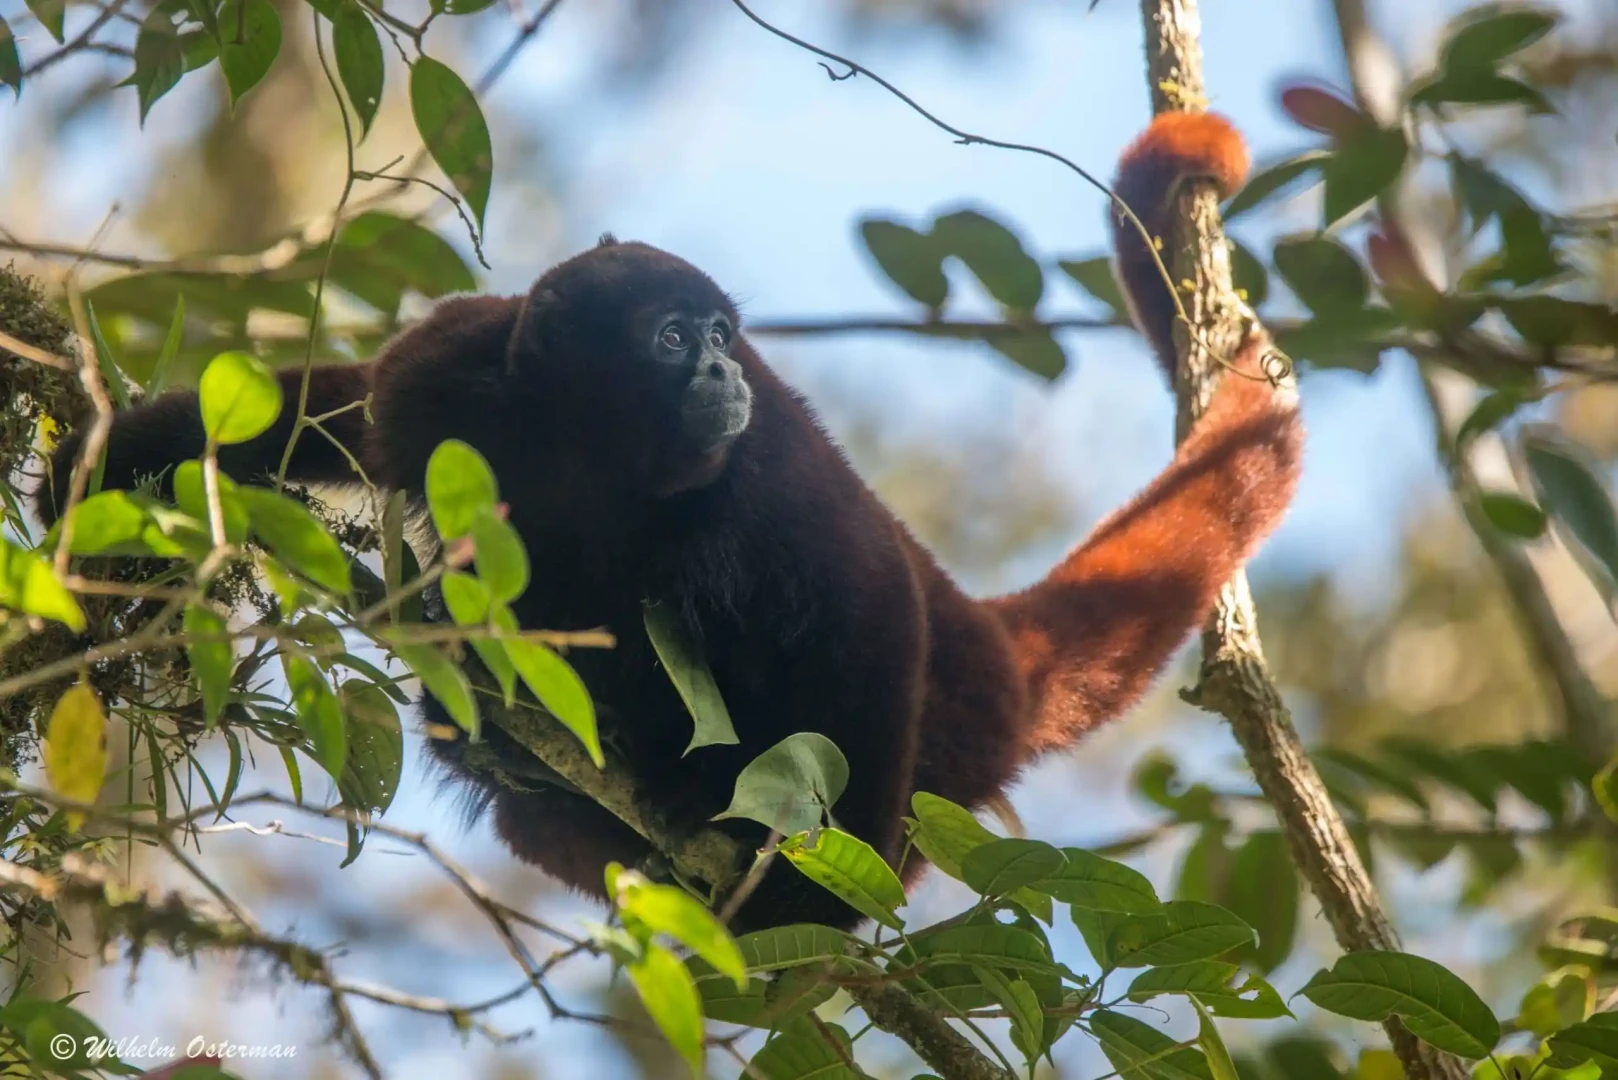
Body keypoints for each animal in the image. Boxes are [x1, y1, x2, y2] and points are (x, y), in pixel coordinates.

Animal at [40, 112, 1299, 932]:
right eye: (669, 336)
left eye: (722, 334)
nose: (722, 369)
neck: (591, 452)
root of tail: (988, 654)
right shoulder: (448, 372)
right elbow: (324, 414)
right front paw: (112, 477)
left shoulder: (765, 469)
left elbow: (862, 605)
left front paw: (802, 904)